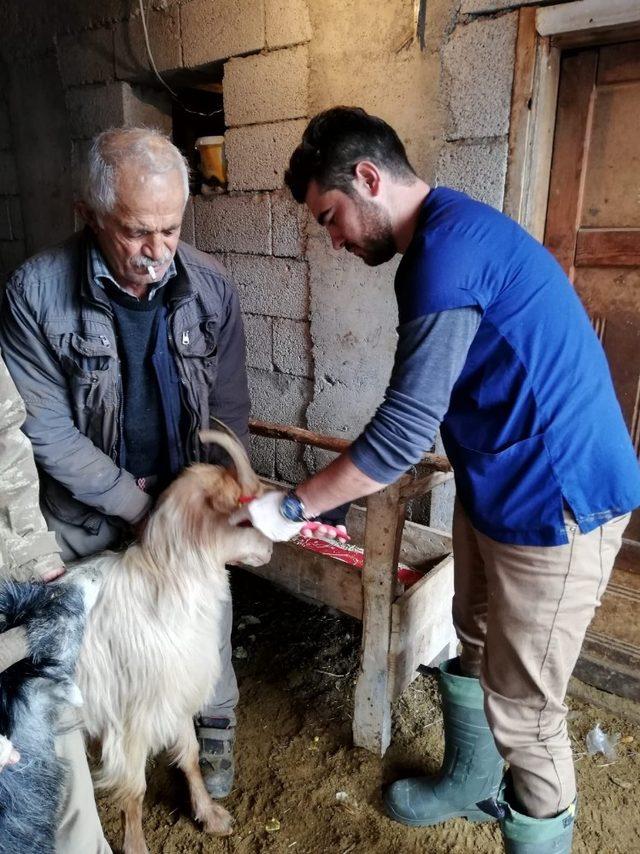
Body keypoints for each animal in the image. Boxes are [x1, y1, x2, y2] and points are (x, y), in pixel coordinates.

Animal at [66, 434, 272, 854]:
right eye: (245, 519)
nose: (270, 552)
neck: (167, 579)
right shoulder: (129, 717)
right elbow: (133, 790)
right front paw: (136, 846)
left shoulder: (176, 693)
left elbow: (190, 756)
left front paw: (210, 815)